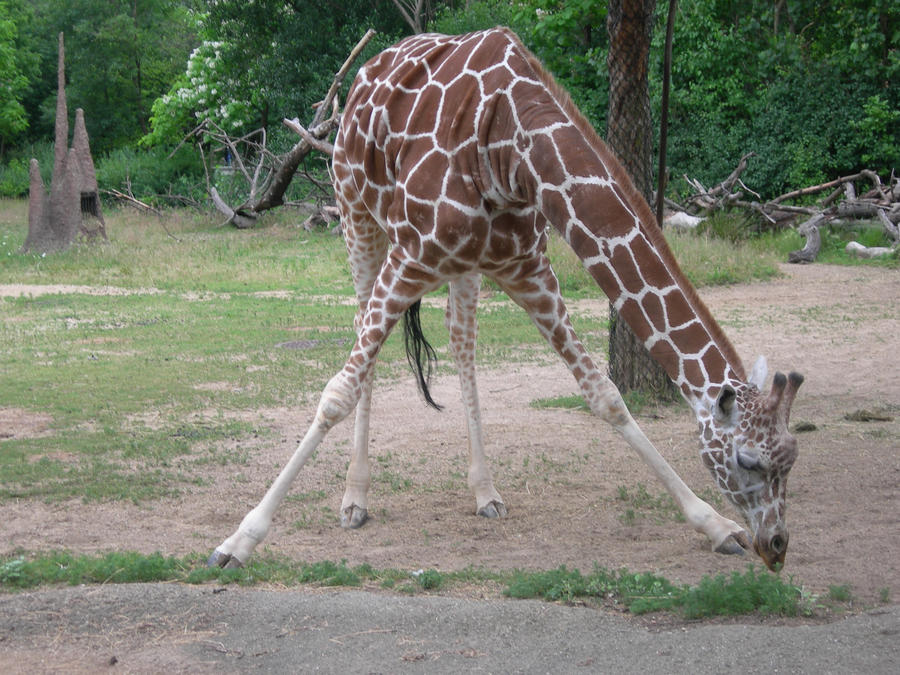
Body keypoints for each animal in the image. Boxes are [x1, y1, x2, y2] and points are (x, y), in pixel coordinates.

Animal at [209, 29, 800, 572]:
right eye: (747, 459)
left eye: (791, 458)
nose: (776, 547)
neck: (515, 147)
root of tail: (364, 75)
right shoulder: (410, 256)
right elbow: (337, 393)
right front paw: (238, 540)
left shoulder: (528, 271)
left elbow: (605, 394)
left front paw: (715, 525)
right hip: (358, 219)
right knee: (365, 343)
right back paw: (354, 500)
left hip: (463, 267)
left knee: (461, 344)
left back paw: (484, 492)